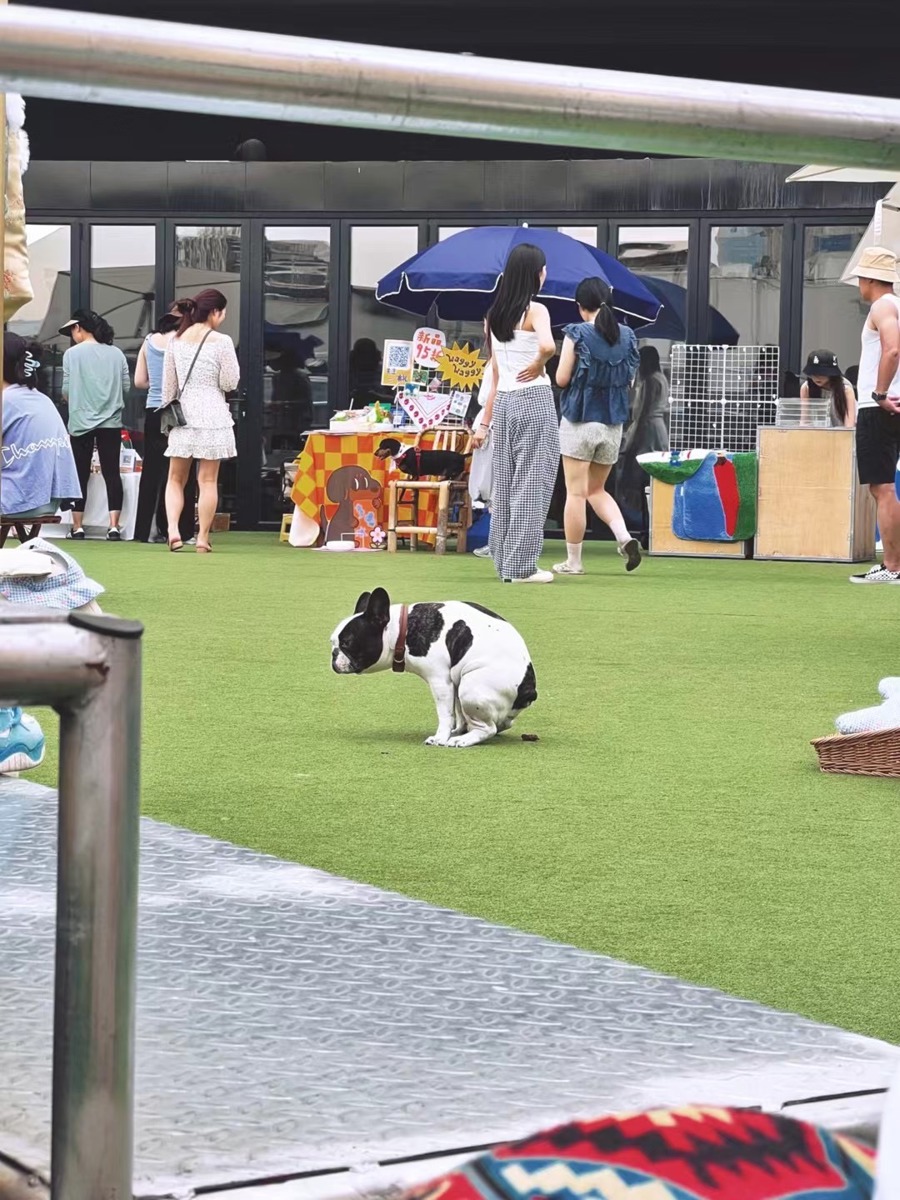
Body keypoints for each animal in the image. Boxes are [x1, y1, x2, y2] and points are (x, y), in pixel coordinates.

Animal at [336, 585, 540, 744]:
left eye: (347, 643)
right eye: (333, 642)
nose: (333, 655)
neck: (402, 629)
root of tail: (528, 689)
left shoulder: (440, 681)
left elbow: (444, 713)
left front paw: (440, 738)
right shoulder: (450, 683)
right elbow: (454, 713)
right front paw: (449, 732)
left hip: (471, 689)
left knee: (487, 729)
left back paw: (462, 740)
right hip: (462, 685)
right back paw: (459, 732)